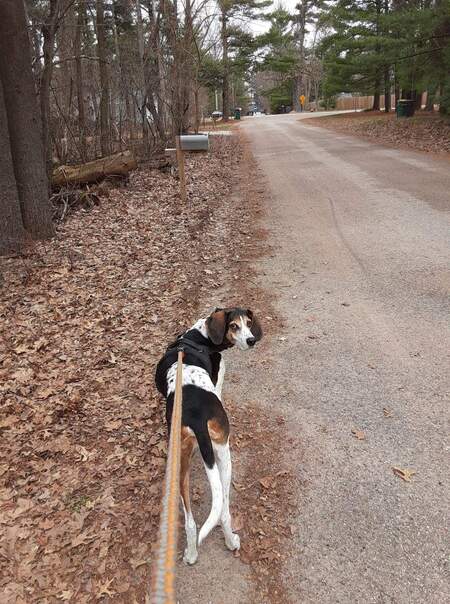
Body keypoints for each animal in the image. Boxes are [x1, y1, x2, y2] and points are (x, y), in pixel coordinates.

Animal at [155, 310, 262, 564]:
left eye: (249, 323)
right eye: (234, 326)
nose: (252, 340)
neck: (198, 336)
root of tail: (196, 418)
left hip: (180, 464)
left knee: (191, 522)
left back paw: (191, 554)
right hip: (224, 455)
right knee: (223, 511)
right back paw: (231, 542)